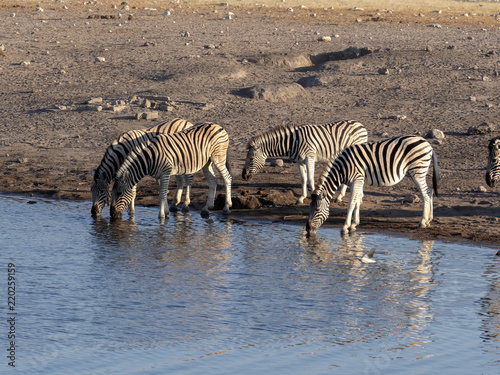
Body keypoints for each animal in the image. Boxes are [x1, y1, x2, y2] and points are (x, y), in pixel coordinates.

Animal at [306, 135, 440, 235]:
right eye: (309, 208)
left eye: (317, 209)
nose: (307, 229)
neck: (342, 169)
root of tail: (427, 144)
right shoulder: (360, 180)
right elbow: (358, 201)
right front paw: (354, 224)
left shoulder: (357, 179)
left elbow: (351, 203)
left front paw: (345, 227)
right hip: (418, 172)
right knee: (429, 191)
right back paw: (429, 220)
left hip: (417, 171)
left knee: (425, 194)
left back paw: (422, 222)